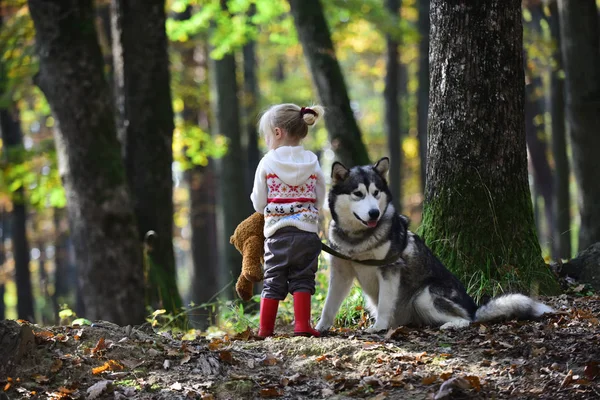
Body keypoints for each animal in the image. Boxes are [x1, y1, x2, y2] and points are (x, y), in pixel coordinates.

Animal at [316, 158, 556, 332]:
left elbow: (384, 304)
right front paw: (319, 328)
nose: (374, 212)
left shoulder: (390, 269)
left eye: (376, 193)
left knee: (467, 319)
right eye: (358, 194)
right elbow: (329, 305)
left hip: (424, 295)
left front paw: (379, 328)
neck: (357, 239)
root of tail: (474, 307)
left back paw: (452, 324)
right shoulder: (341, 272)